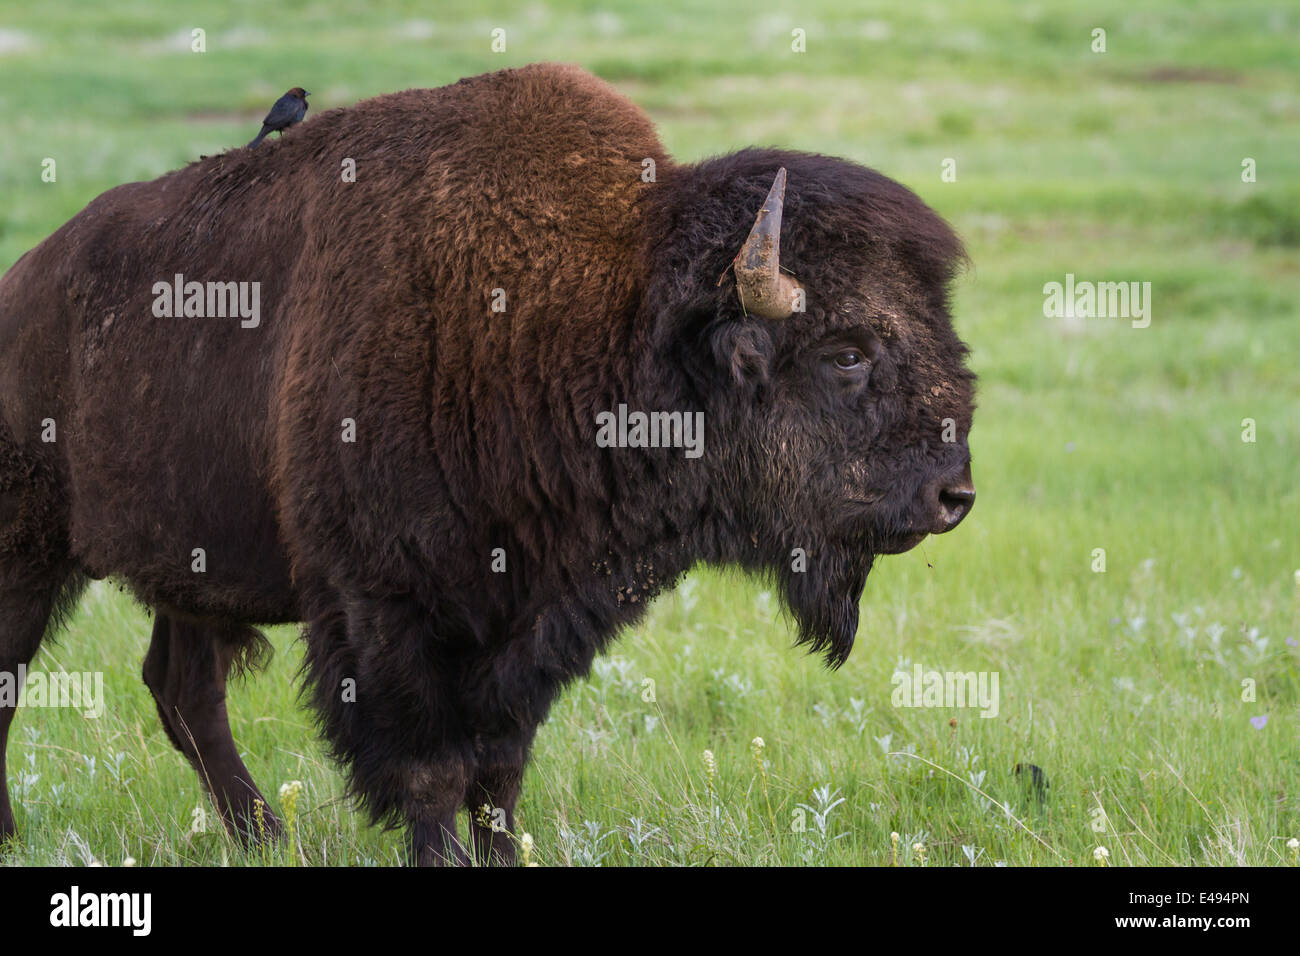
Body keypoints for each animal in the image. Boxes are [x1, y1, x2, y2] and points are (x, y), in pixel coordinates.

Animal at [0, 63, 975, 865]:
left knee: (184, 691)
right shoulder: (386, 613)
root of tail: (23, 282)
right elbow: (431, 771)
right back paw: (25, 833)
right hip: (29, 555)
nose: (952, 495)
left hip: (192, 573)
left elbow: (499, 772)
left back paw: (265, 839)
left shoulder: (529, 623)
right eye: (846, 353)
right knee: (21, 680)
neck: (592, 308)